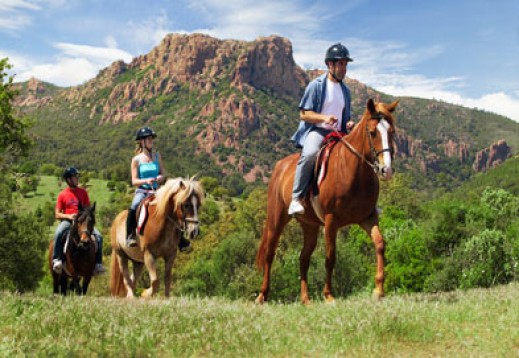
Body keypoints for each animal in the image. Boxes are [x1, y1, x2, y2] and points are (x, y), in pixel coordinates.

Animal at [255, 98, 398, 304]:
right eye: (372, 132)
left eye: (391, 132)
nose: (386, 170)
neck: (354, 172)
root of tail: (280, 166)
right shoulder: (331, 221)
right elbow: (330, 257)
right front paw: (329, 295)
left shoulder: (367, 217)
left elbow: (380, 244)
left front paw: (379, 290)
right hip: (277, 218)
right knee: (269, 253)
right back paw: (262, 295)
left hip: (310, 225)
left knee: (303, 259)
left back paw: (305, 299)